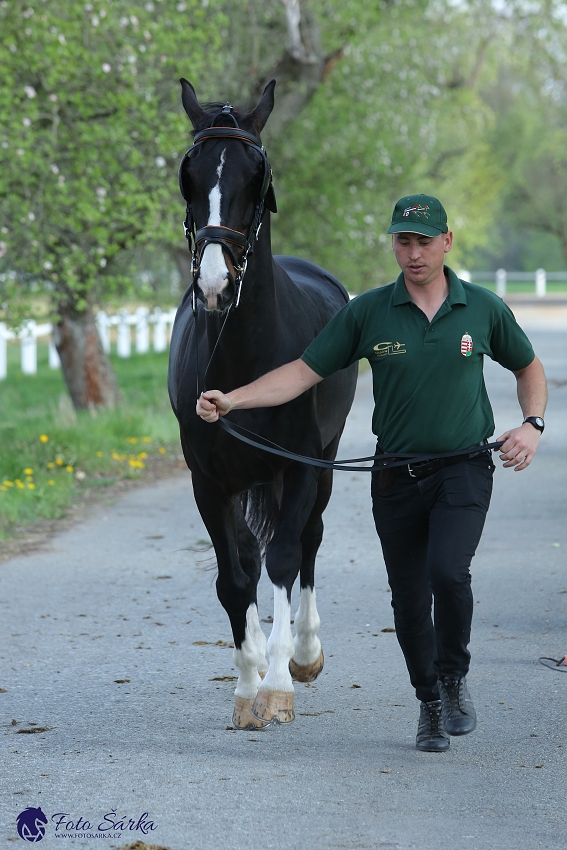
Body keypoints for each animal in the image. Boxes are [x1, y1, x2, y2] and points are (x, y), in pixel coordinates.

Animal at [166, 81, 358, 728]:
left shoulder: (296, 467)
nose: (215, 284)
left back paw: (304, 653)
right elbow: (235, 576)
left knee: (308, 541)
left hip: (322, 463)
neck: (242, 355)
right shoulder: (208, 481)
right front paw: (247, 685)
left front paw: (276, 684)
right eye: (189, 174)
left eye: (257, 175)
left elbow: (283, 560)